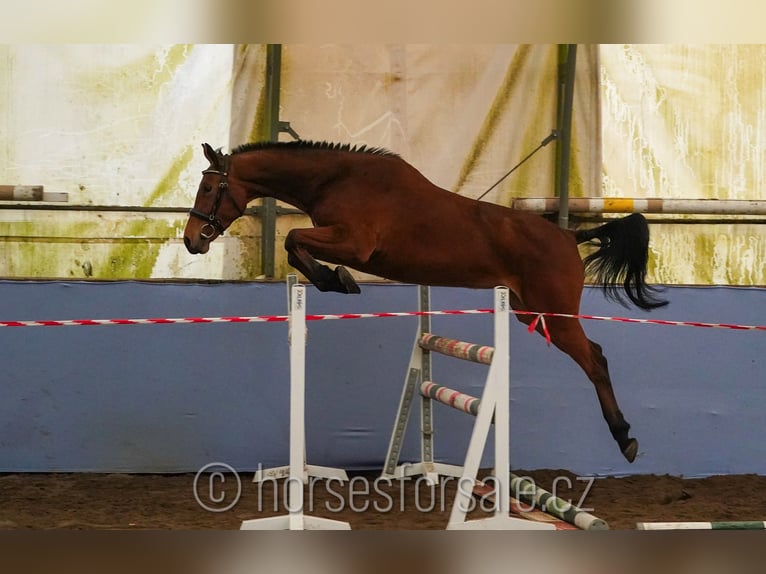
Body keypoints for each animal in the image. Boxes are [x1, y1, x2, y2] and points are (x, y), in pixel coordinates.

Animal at [184, 142, 664, 466]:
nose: (191, 241)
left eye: (208, 187)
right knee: (593, 355)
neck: (336, 179)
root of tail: (569, 235)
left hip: (556, 316)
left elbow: (293, 240)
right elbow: (293, 246)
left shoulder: (355, 244)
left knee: (596, 360)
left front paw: (336, 280)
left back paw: (625, 438)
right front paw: (333, 281)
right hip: (530, 311)